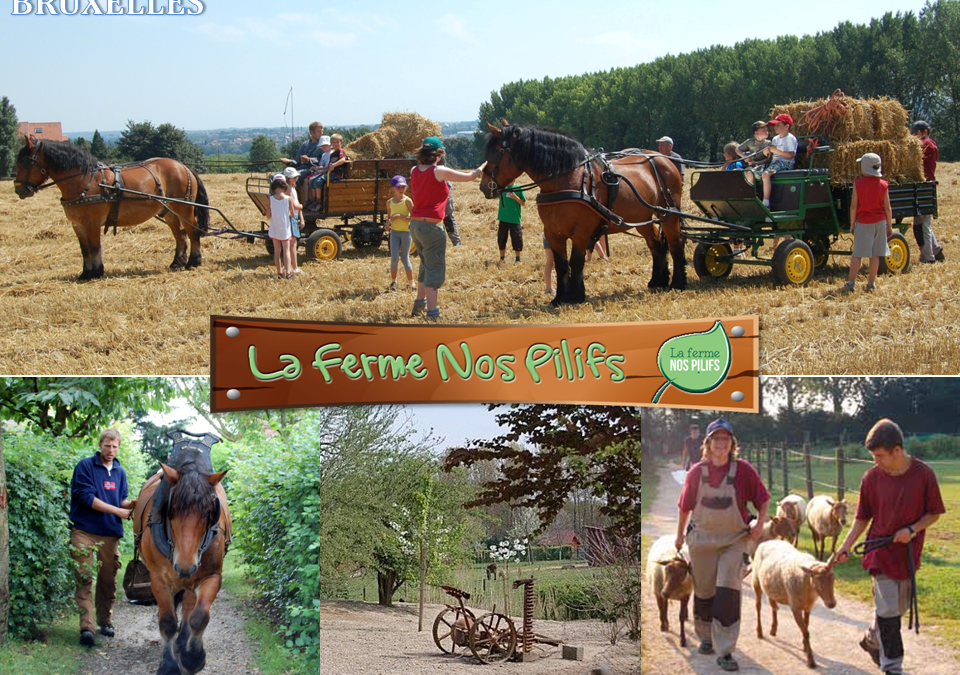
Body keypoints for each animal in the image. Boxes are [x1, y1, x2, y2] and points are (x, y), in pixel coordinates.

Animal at [13, 137, 209, 280]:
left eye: (24, 163)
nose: (19, 189)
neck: (84, 180)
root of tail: (183, 166)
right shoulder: (77, 225)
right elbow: (84, 249)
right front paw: (85, 273)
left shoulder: (91, 223)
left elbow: (94, 247)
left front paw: (96, 272)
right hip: (169, 212)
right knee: (180, 235)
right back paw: (177, 262)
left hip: (184, 208)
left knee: (193, 232)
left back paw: (194, 261)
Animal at [135, 454, 231, 672]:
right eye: (172, 510)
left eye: (209, 512)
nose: (184, 566)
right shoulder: (158, 580)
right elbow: (168, 622)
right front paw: (168, 665)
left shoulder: (211, 577)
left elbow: (199, 616)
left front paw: (193, 658)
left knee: (188, 605)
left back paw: (183, 641)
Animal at [484, 123, 688, 304]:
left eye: (495, 152)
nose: (484, 185)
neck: (568, 179)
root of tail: (663, 158)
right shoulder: (552, 233)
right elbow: (561, 264)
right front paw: (559, 298)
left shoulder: (581, 232)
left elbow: (576, 262)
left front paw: (576, 296)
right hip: (643, 219)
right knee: (656, 245)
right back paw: (657, 281)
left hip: (669, 214)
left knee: (675, 242)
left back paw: (678, 283)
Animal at [752, 540, 836, 672]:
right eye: (817, 583)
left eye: (833, 579)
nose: (832, 604)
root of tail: (769, 540)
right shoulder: (795, 607)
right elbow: (806, 632)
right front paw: (810, 660)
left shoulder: (808, 607)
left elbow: (806, 627)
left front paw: (805, 646)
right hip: (756, 580)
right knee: (758, 606)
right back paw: (759, 632)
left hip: (771, 586)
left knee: (773, 606)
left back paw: (773, 629)